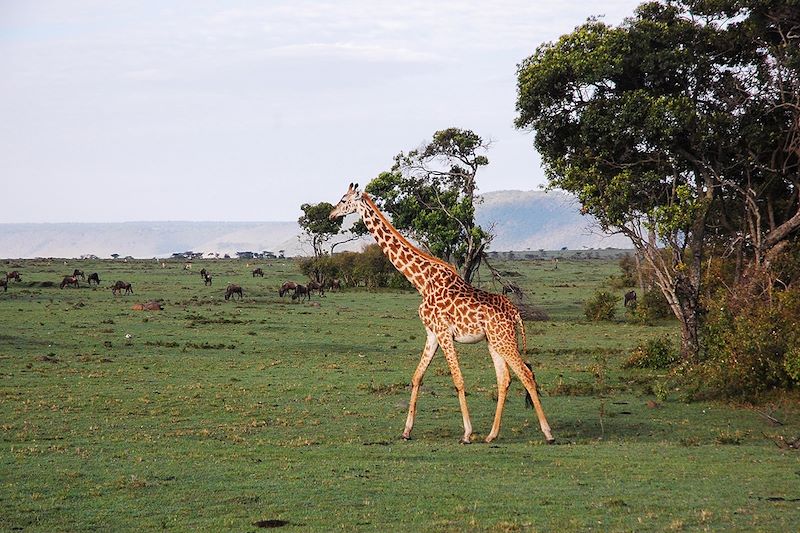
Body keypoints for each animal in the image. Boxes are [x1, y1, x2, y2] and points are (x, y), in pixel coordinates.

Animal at [328, 185, 552, 442]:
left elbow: (458, 379)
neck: (421, 282)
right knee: (504, 379)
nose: (331, 215)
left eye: (343, 200)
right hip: (494, 340)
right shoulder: (432, 334)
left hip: (503, 339)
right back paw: (492, 435)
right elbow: (417, 376)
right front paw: (406, 431)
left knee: (526, 374)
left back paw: (547, 433)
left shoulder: (444, 333)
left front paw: (467, 433)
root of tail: (515, 312)